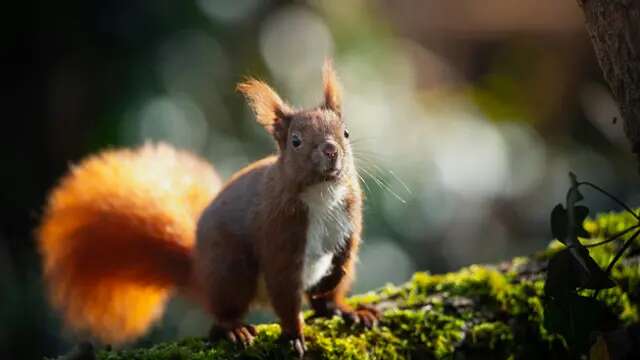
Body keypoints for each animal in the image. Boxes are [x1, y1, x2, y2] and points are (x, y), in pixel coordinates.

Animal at [37, 59, 380, 358]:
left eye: (346, 132)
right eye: (295, 141)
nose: (331, 151)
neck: (322, 191)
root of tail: (198, 270)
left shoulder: (349, 214)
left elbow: (346, 254)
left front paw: (334, 288)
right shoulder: (280, 233)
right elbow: (284, 291)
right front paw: (294, 334)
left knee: (325, 300)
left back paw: (346, 310)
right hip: (231, 269)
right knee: (222, 315)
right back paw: (233, 329)